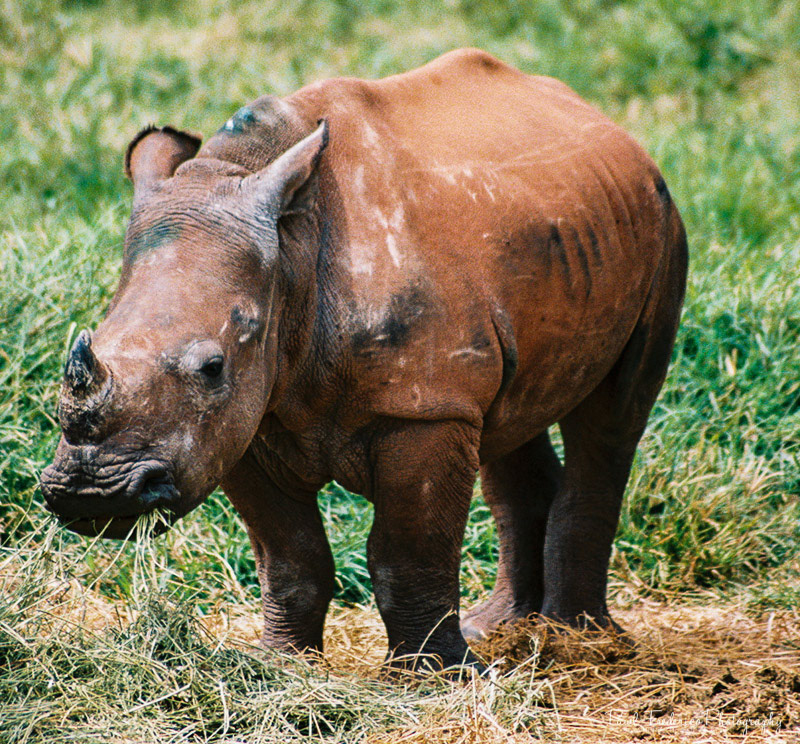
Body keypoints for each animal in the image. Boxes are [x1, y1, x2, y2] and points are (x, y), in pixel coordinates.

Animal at [40, 49, 687, 669]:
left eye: (212, 367)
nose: (90, 495)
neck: (293, 247)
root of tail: (608, 124)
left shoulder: (421, 410)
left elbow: (406, 553)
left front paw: (436, 676)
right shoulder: (238, 424)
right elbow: (289, 555)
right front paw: (282, 664)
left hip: (663, 226)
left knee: (612, 417)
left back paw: (581, 642)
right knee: (510, 417)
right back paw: (504, 629)